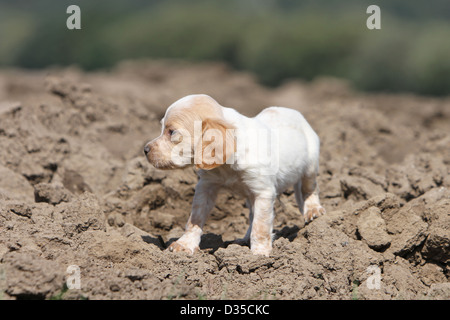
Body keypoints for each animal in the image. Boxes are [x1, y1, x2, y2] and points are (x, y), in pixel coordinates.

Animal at [144, 94, 324, 256]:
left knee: (310, 189)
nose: (145, 149)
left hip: (310, 164)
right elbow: (195, 218)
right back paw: (244, 239)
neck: (227, 167)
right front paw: (184, 244)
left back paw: (313, 210)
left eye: (172, 132)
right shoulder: (206, 186)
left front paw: (259, 253)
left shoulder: (263, 192)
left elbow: (260, 226)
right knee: (252, 214)